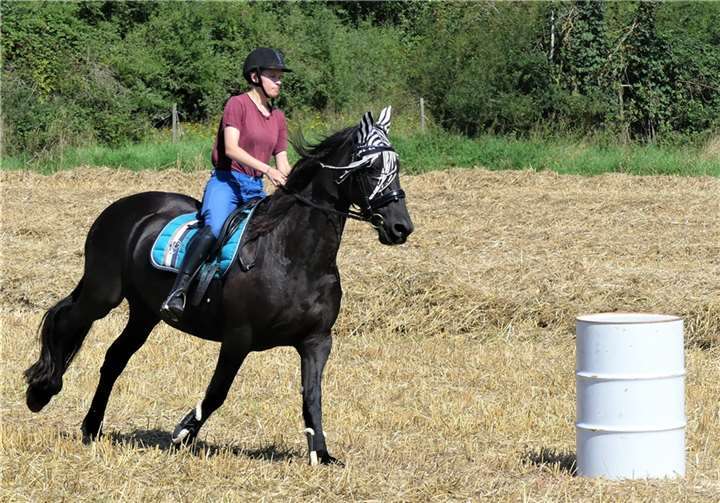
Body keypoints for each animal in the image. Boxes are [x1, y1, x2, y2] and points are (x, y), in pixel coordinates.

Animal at [24, 106, 413, 465]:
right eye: (369, 168)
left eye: (396, 165)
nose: (401, 228)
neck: (294, 255)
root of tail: (120, 208)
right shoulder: (238, 337)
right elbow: (218, 391)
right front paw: (182, 433)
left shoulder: (317, 341)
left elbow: (312, 395)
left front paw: (321, 453)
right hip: (103, 294)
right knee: (67, 321)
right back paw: (41, 391)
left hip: (145, 312)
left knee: (115, 358)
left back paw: (92, 427)